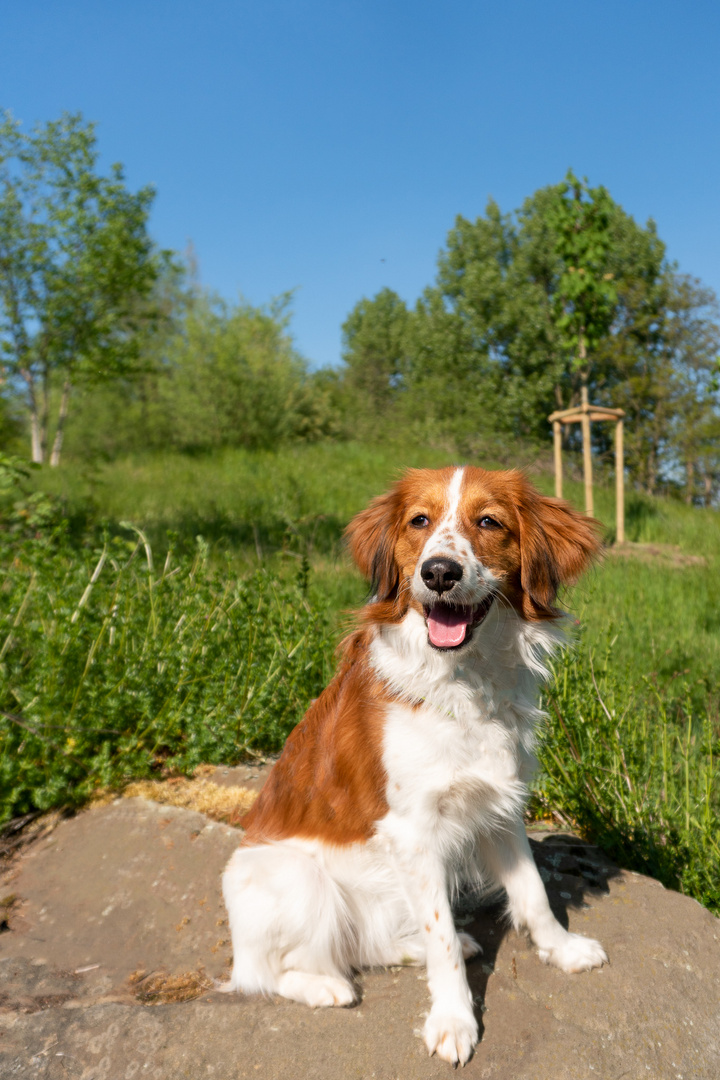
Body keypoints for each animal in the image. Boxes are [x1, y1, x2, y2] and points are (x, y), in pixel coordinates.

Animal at [221, 464, 608, 1062]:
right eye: (418, 522)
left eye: (489, 522)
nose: (439, 572)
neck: (465, 681)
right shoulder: (412, 832)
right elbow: (440, 936)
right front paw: (453, 1020)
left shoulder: (500, 808)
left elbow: (533, 894)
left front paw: (562, 950)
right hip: (295, 879)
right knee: (265, 974)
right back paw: (325, 987)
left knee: (366, 947)